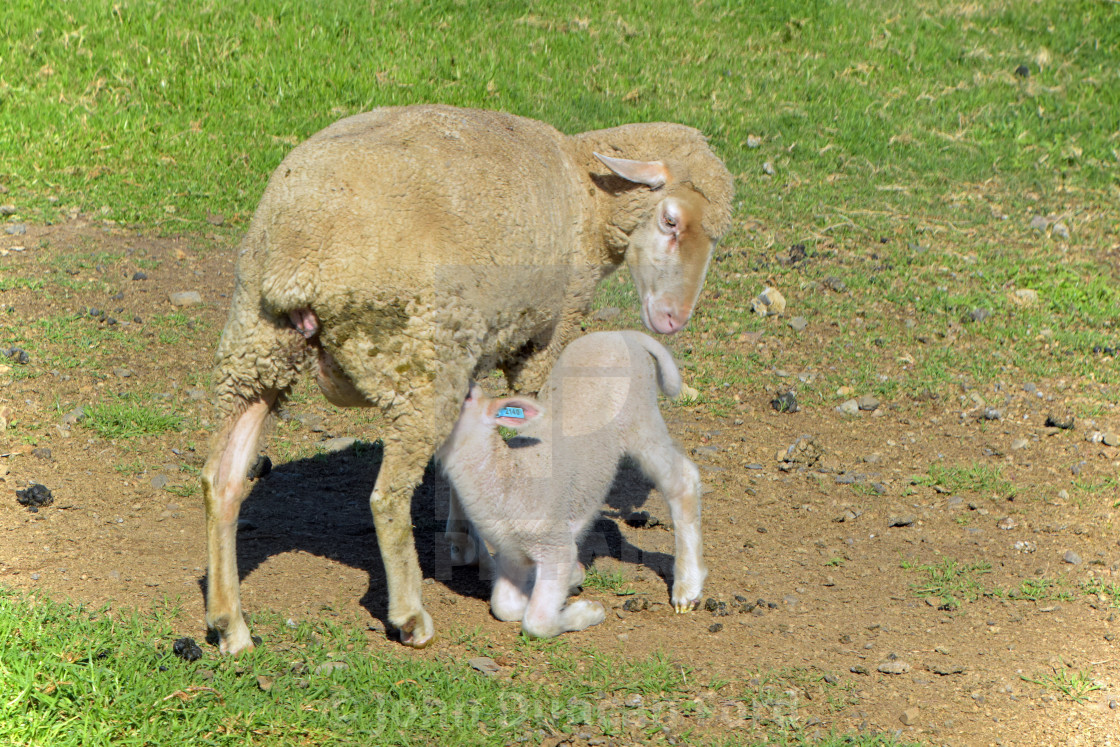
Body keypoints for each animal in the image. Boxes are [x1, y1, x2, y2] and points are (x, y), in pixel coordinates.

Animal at [434, 331, 703, 636]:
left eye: (466, 395)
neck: (512, 476)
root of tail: (619, 333)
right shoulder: (512, 554)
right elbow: (504, 607)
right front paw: (570, 581)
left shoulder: (555, 546)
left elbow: (537, 622)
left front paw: (588, 611)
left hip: (641, 417)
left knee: (682, 481)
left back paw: (687, 589)